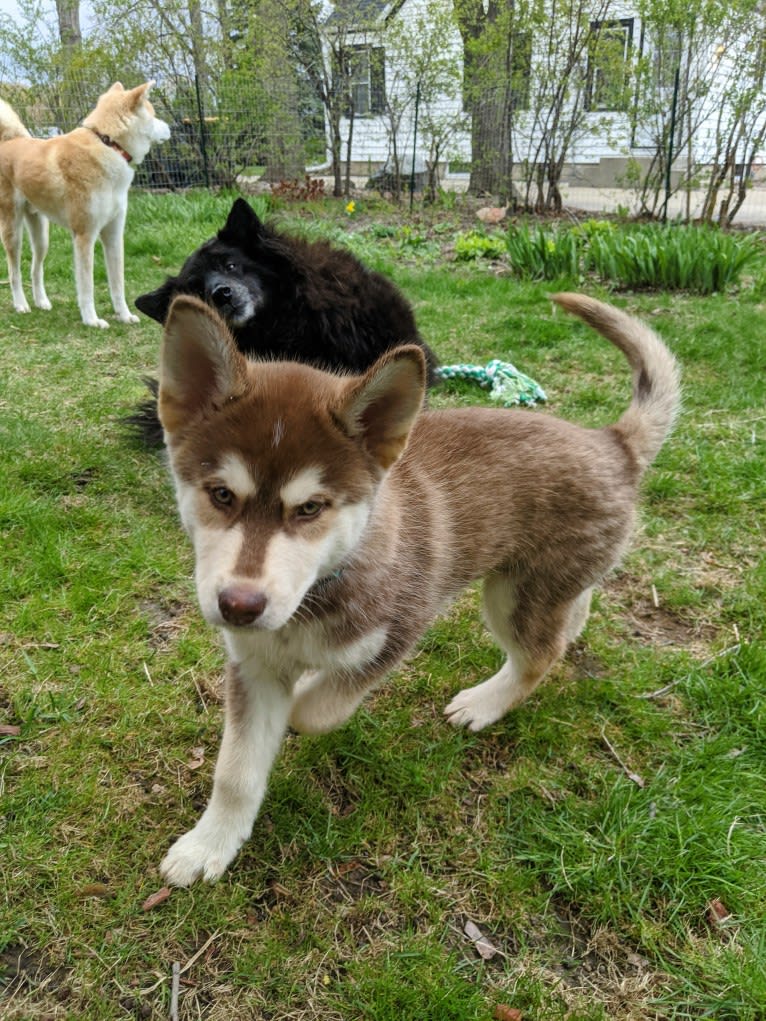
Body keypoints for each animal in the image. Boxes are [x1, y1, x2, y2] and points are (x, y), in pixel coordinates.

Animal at [0, 80, 170, 326]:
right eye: (154, 114)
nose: (170, 127)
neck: (108, 144)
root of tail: (10, 141)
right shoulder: (84, 236)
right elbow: (86, 286)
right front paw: (92, 320)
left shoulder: (114, 235)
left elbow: (118, 284)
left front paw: (124, 315)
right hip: (13, 231)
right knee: (14, 271)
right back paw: (21, 304)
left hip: (41, 236)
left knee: (35, 269)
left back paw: (41, 301)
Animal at [157, 292, 682, 882]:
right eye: (222, 495)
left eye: (311, 508)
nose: (239, 607)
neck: (323, 588)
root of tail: (612, 442)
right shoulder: (252, 666)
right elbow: (235, 772)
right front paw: (209, 846)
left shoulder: (398, 633)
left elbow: (317, 709)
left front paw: (305, 697)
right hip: (538, 583)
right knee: (571, 611)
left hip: (510, 597)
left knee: (539, 656)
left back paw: (485, 702)